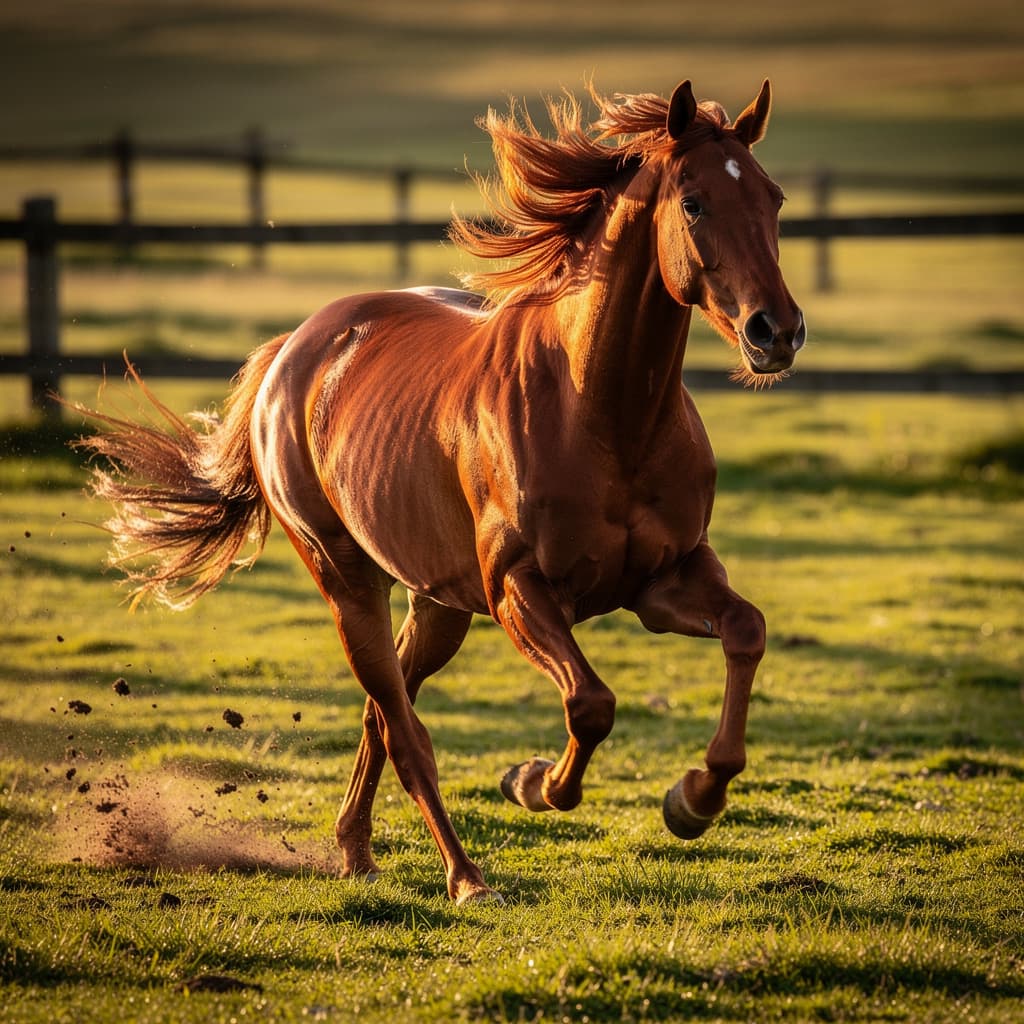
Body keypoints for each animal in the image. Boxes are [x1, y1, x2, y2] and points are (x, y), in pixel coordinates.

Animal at [79, 79, 805, 904]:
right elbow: (590, 704)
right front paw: (533, 782)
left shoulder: (666, 578)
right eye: (694, 202)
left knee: (381, 710)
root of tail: (289, 352)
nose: (777, 332)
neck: (598, 410)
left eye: (774, 198)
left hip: (437, 603)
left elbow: (746, 631)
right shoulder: (519, 589)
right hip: (348, 579)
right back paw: (464, 877)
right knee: (402, 727)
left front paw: (692, 800)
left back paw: (357, 852)